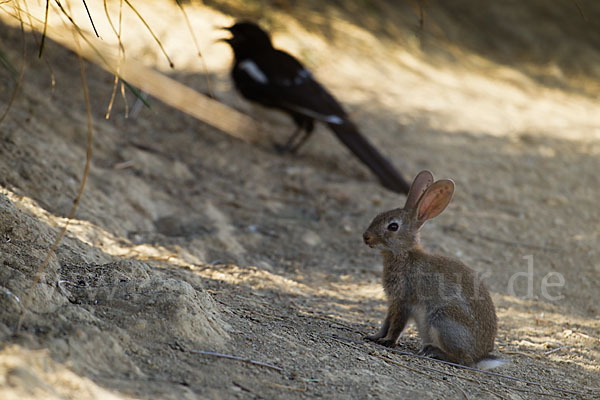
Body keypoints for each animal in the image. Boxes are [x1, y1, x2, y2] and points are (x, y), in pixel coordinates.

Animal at [366, 170, 502, 368]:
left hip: (443, 320)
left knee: (463, 360)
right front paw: (374, 336)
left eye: (393, 226)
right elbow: (386, 323)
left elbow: (396, 325)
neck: (404, 253)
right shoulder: (392, 302)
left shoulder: (403, 300)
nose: (366, 237)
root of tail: (480, 358)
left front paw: (387, 341)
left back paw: (433, 351)